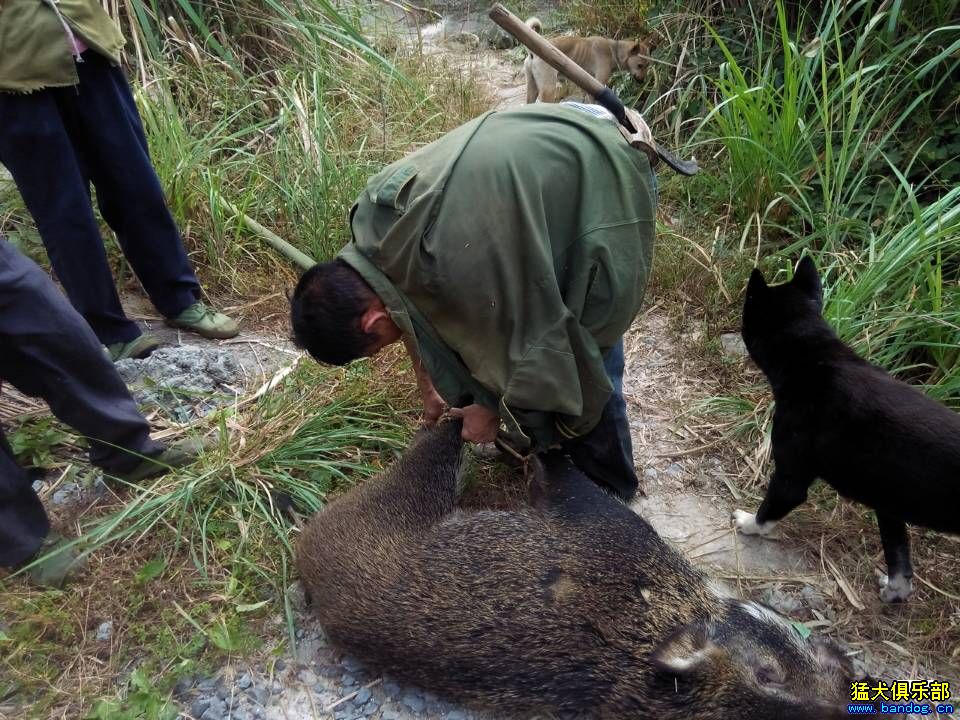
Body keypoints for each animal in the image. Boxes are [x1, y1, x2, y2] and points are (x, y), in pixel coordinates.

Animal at [524, 17, 652, 103]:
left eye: (648, 65)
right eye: (640, 65)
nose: (642, 81)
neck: (613, 50)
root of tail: (533, 52)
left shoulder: (586, 86)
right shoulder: (598, 84)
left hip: (532, 89)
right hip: (548, 90)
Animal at [732, 256, 956, 600]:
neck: (813, 357)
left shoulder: (790, 477)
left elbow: (768, 509)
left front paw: (749, 524)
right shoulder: (888, 505)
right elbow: (899, 558)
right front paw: (895, 592)